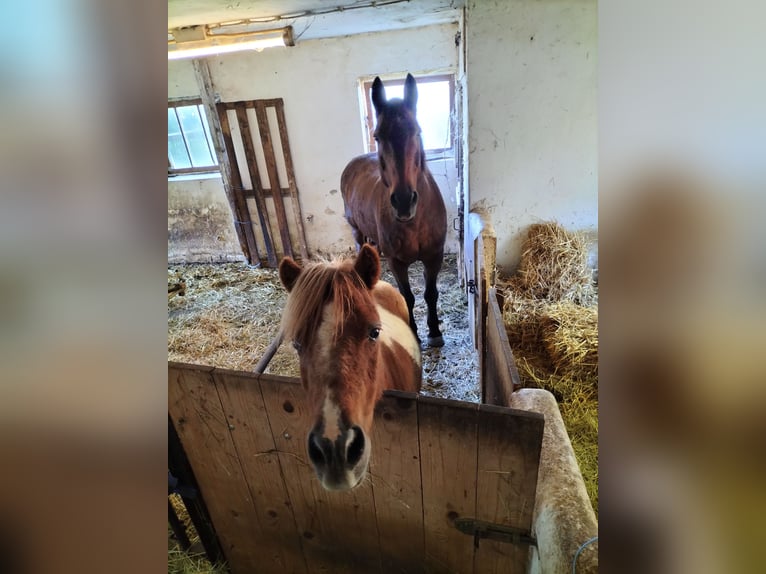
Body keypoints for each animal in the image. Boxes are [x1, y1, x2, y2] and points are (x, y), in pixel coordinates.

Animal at [344, 74, 450, 348]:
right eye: (378, 136)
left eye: (417, 131)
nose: (403, 201)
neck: (415, 222)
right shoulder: (397, 262)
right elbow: (407, 297)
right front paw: (414, 332)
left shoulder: (434, 256)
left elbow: (430, 293)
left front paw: (435, 331)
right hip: (357, 231)